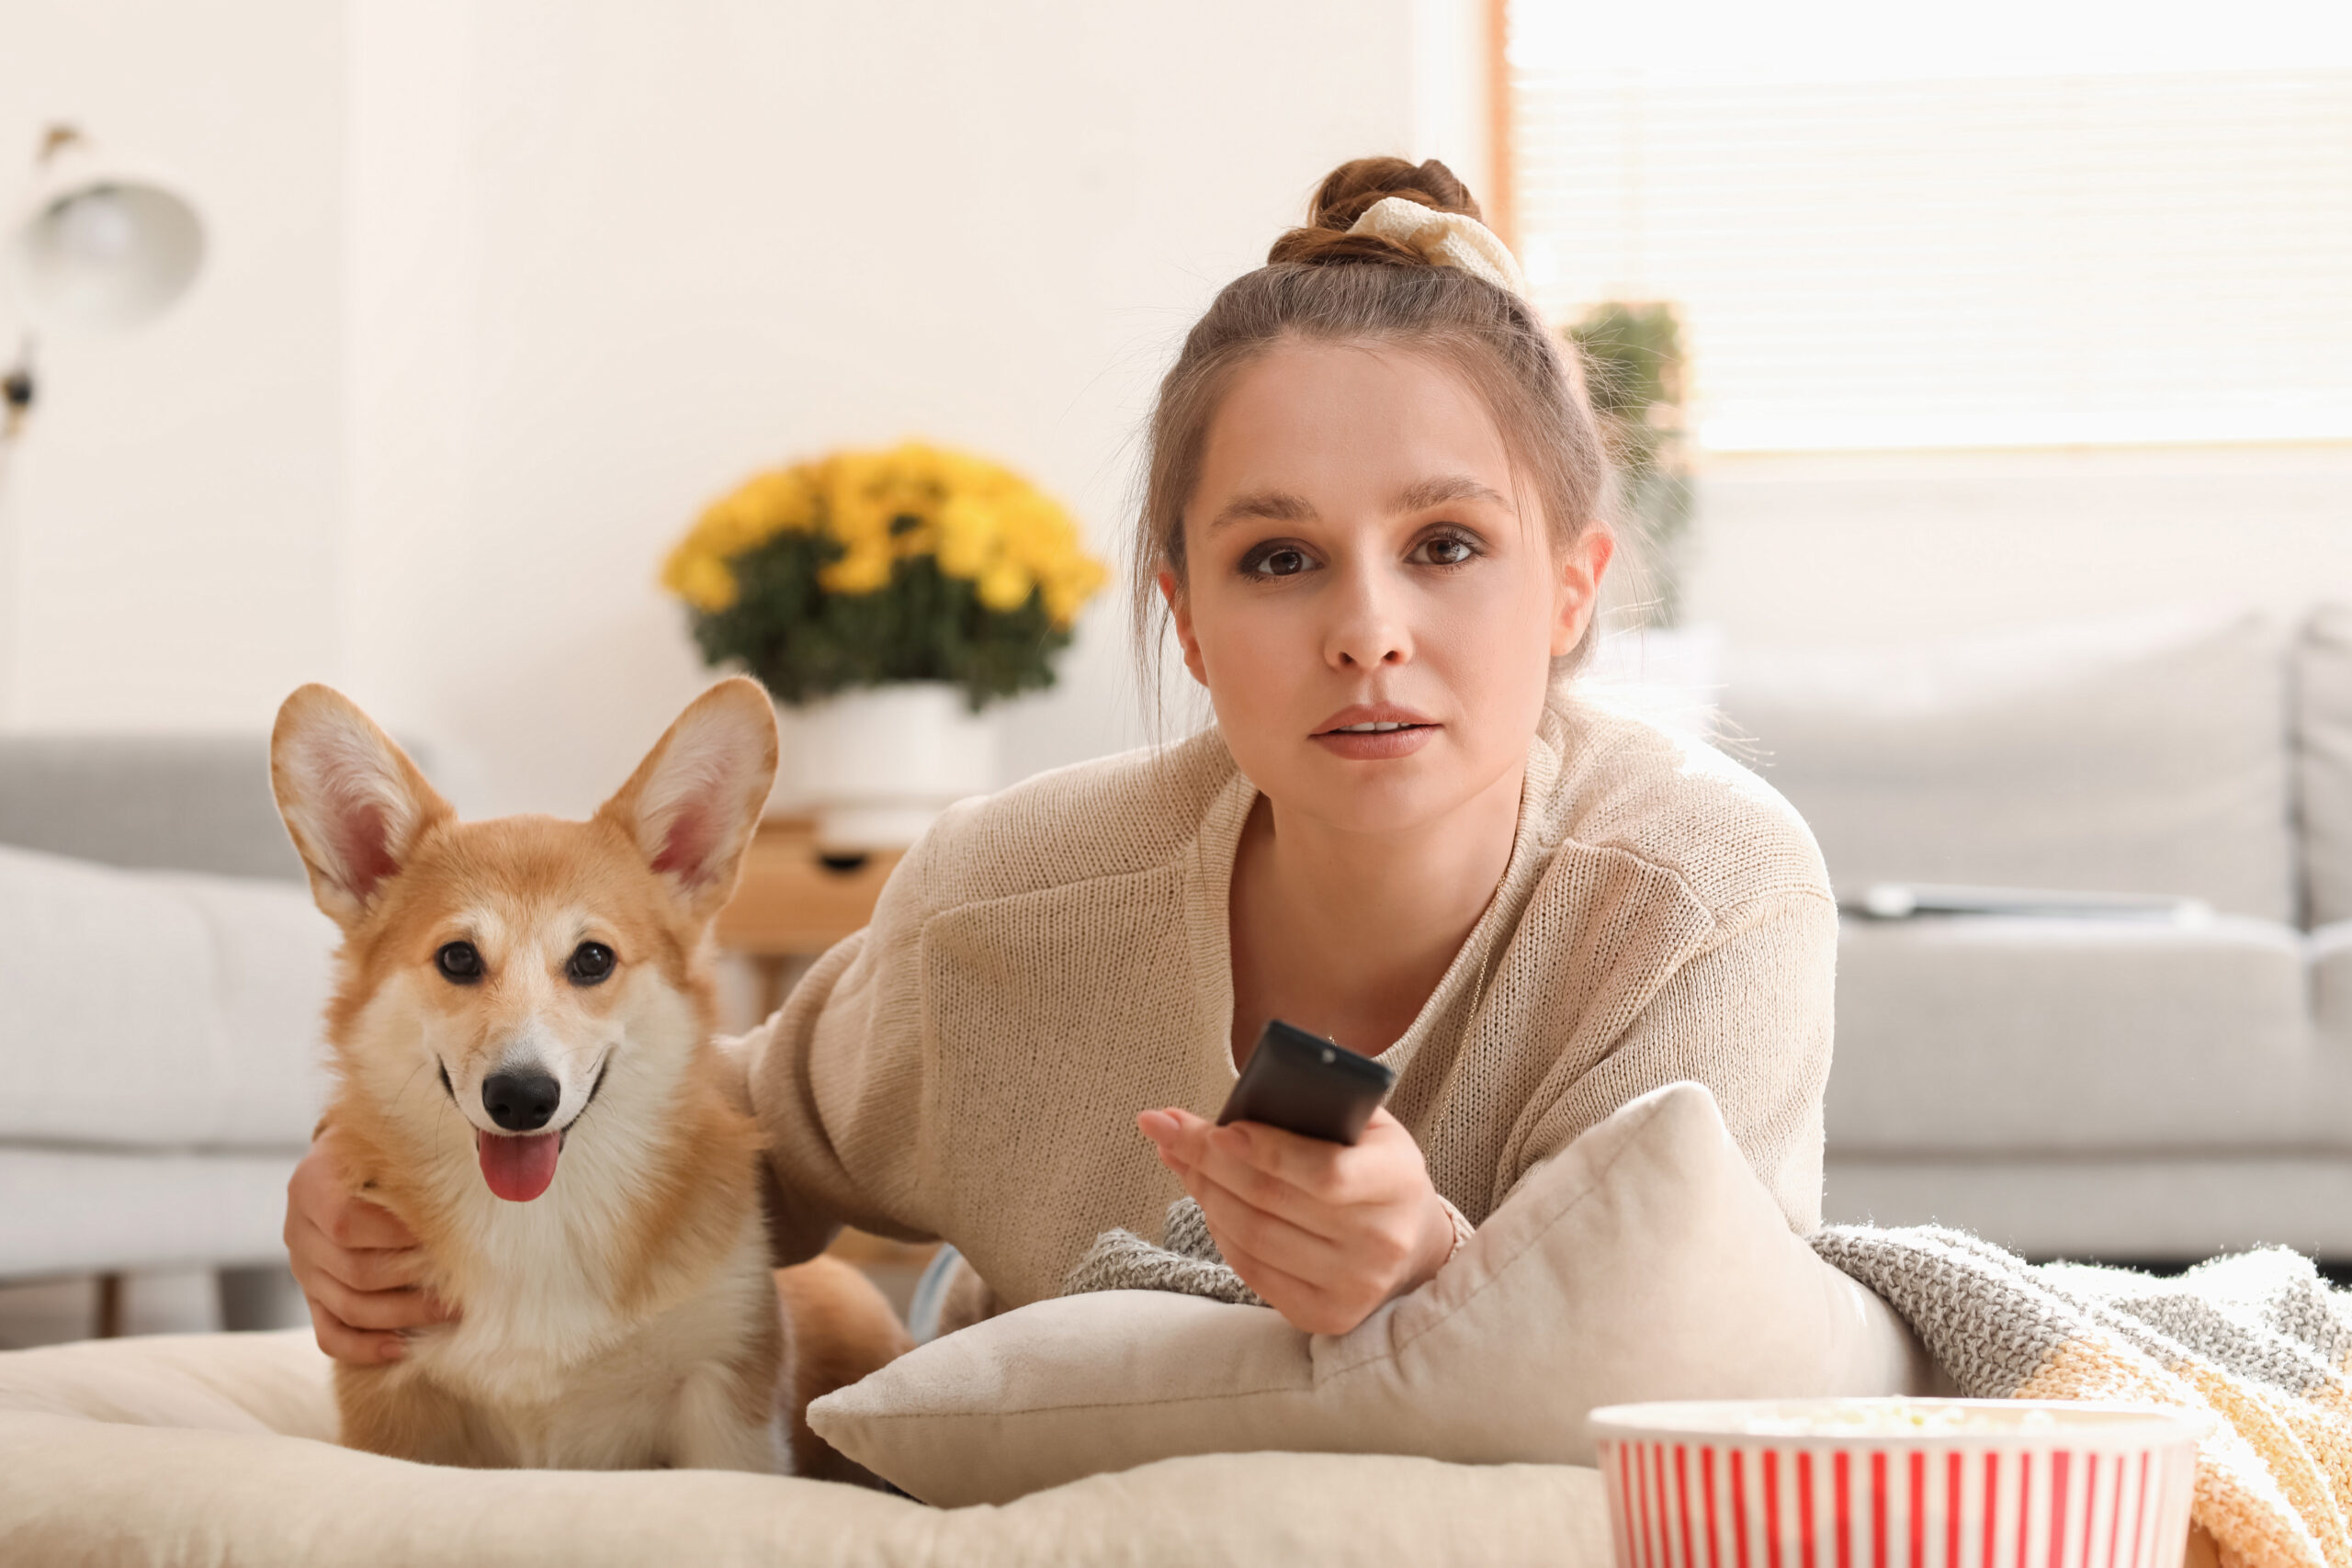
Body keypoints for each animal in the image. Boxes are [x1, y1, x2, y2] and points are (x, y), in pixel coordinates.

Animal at [266, 682, 908, 1476]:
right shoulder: (395, 1404)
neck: (538, 1220)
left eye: (593, 959)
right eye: (457, 958)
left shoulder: (723, 1395)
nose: (520, 1098)